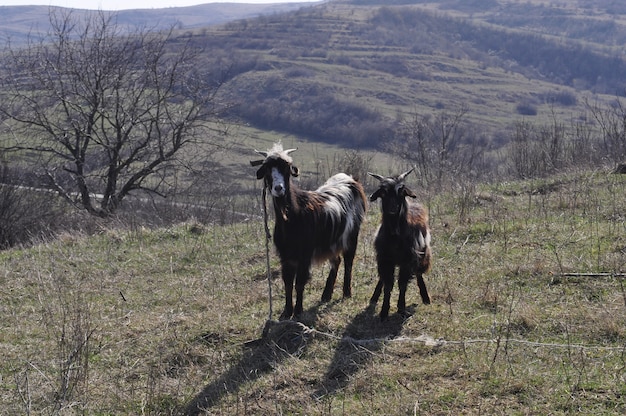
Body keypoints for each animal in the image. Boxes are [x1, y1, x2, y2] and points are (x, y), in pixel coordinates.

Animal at [249, 142, 366, 318]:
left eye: (287, 168)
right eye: (267, 169)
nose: (278, 188)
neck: (292, 218)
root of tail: (350, 180)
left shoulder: (305, 254)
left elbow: (299, 283)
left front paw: (298, 312)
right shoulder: (285, 256)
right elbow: (288, 283)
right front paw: (286, 312)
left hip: (351, 236)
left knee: (348, 261)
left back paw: (346, 292)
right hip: (331, 242)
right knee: (336, 260)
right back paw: (326, 294)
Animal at [366, 167, 428, 320]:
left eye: (402, 191)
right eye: (383, 192)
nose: (393, 208)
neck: (395, 235)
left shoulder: (408, 260)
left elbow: (402, 284)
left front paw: (402, 308)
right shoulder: (385, 259)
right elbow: (388, 284)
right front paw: (384, 311)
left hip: (421, 253)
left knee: (419, 273)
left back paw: (425, 297)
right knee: (382, 279)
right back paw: (374, 297)